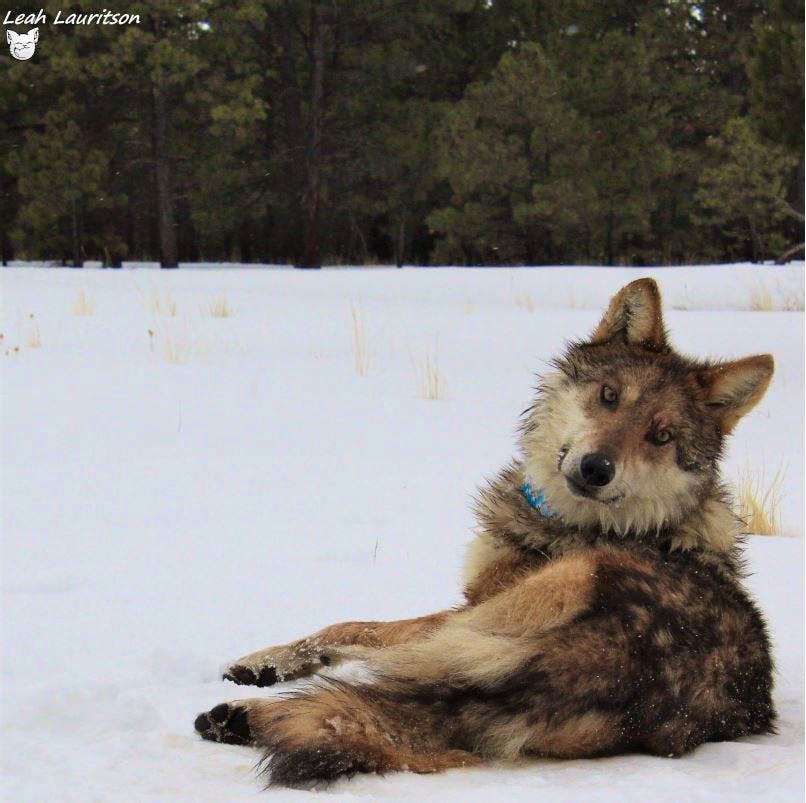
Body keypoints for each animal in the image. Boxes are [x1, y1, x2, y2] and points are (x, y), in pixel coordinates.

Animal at [195, 278, 776, 788]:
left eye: (661, 436)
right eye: (610, 396)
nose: (596, 469)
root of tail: (616, 660)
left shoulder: (468, 603)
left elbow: (349, 626)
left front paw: (262, 661)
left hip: (496, 616)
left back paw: (239, 714)